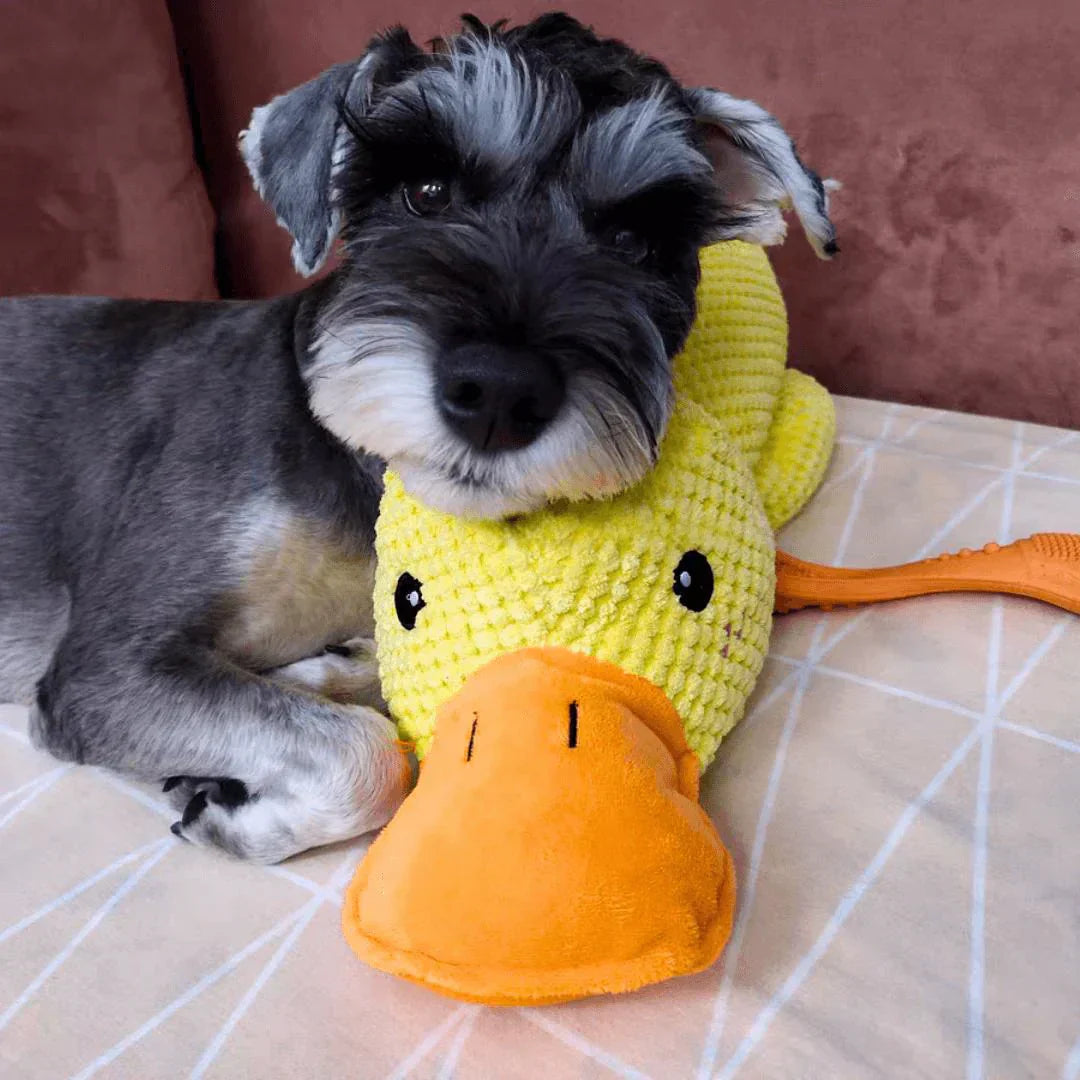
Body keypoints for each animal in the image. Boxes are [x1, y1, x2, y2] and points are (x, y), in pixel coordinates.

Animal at [0, 12, 833, 859]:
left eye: (634, 239)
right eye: (425, 191)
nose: (498, 393)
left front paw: (317, 680)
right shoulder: (110, 664)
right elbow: (366, 754)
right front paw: (246, 811)